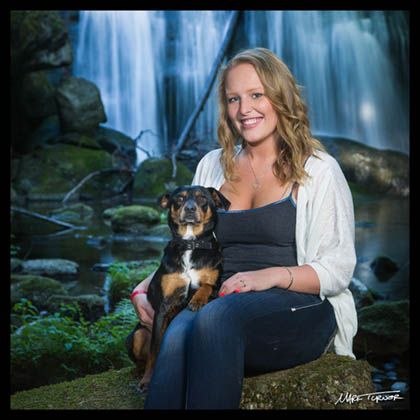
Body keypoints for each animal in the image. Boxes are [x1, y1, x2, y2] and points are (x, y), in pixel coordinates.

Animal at [125, 185, 230, 388]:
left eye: (202, 198)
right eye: (179, 199)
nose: (189, 209)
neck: (190, 244)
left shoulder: (217, 284)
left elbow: (206, 285)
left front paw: (197, 300)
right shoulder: (163, 307)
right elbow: (154, 352)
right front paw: (147, 380)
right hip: (137, 334)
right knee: (142, 358)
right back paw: (138, 371)